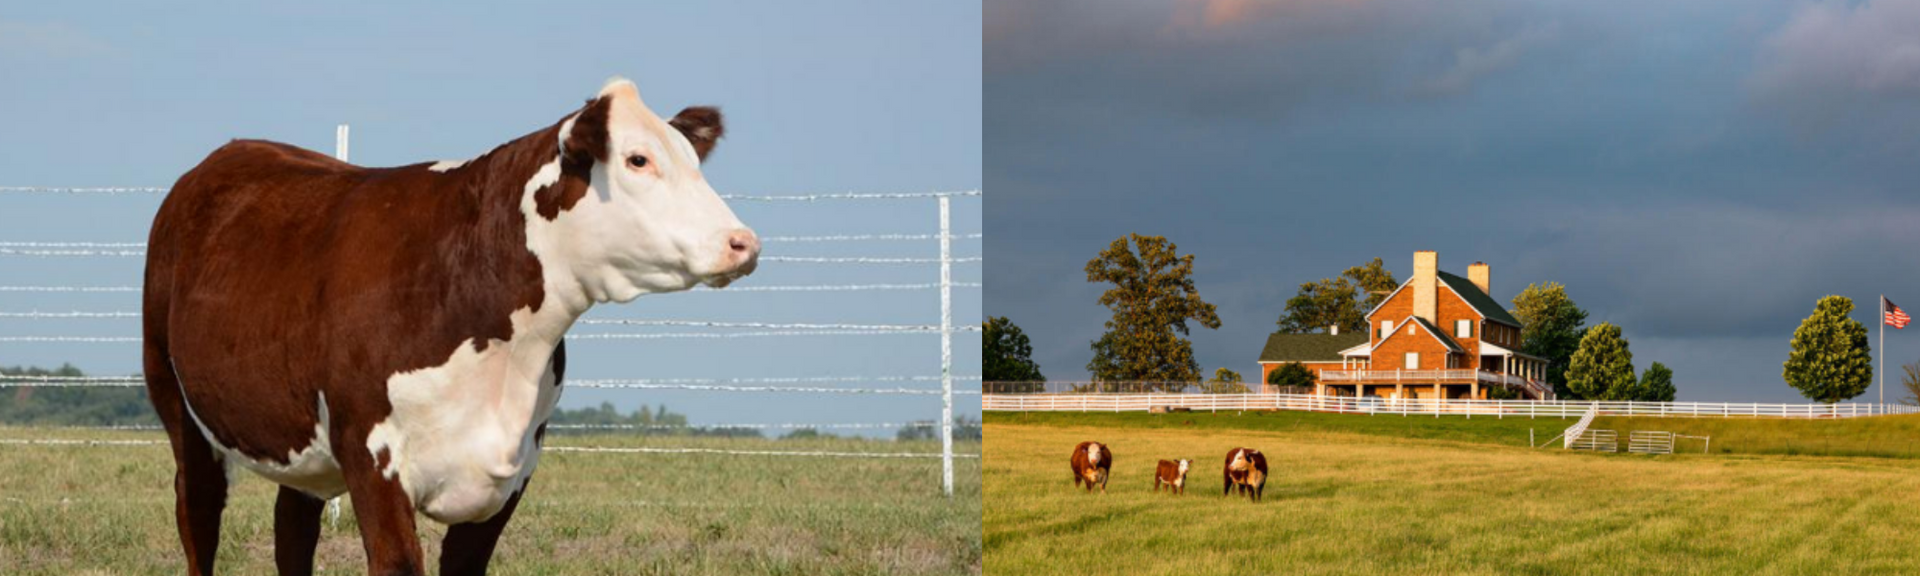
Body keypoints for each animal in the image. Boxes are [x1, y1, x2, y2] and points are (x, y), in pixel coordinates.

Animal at [141, 77, 758, 576]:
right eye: (637, 160)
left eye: (692, 160)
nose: (742, 242)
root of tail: (232, 148)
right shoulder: (372, 455)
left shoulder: (513, 469)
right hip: (175, 402)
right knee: (197, 516)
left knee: (293, 528)